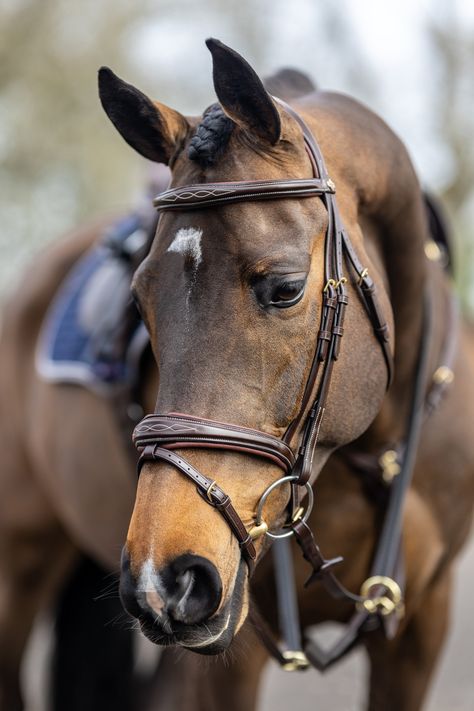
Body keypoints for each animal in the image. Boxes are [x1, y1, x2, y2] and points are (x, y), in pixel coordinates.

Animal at [0, 39, 474, 711]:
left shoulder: (421, 625)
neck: (369, 452)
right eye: (140, 302)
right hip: (20, 564)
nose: (166, 577)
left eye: (286, 288)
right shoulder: (233, 648)